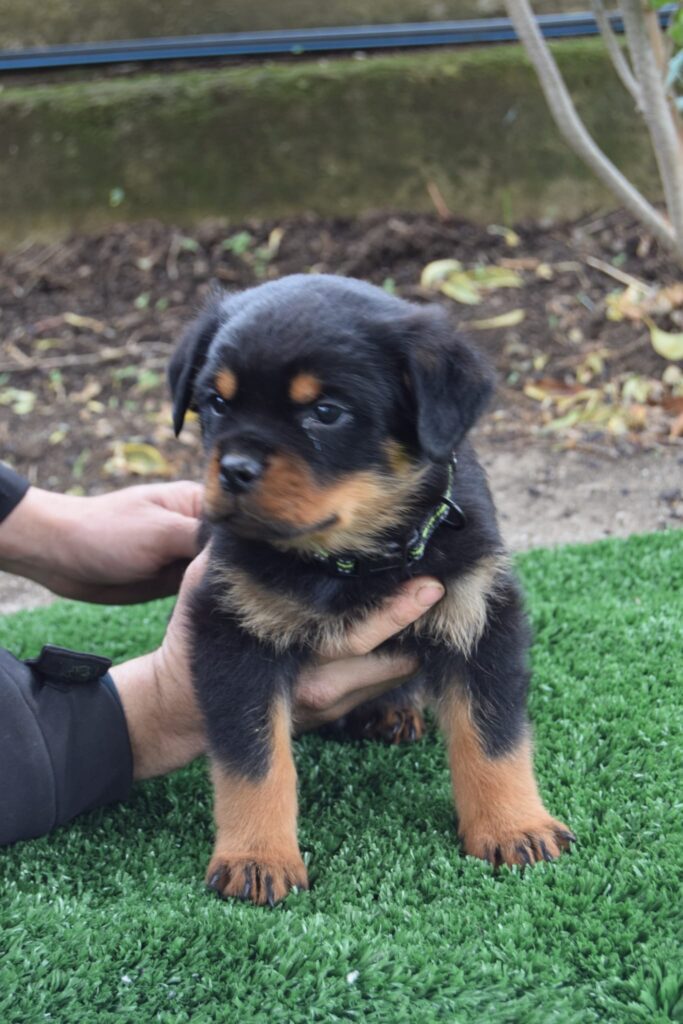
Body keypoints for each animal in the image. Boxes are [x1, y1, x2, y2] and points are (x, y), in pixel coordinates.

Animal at [167, 272, 573, 905]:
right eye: (216, 402)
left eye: (326, 412)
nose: (232, 470)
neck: (350, 562)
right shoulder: (230, 629)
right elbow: (253, 761)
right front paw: (257, 859)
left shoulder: (480, 611)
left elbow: (493, 737)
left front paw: (516, 828)